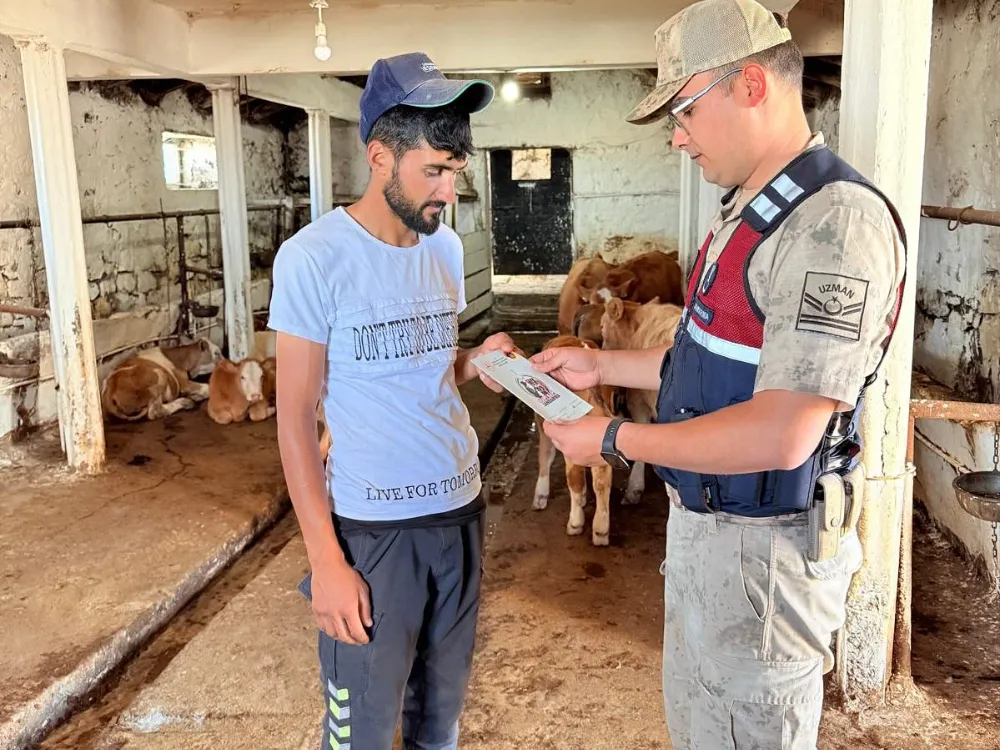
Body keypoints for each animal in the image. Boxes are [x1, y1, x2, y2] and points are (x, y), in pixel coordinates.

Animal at [532, 335, 620, 546]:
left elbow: (545, 457)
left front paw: (540, 496)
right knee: (601, 478)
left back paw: (576, 523)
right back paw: (601, 530)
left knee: (575, 478)